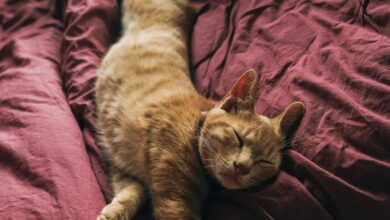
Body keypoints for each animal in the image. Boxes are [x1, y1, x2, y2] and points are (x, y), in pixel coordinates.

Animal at [94, 0, 304, 220]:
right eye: (237, 137)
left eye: (264, 162)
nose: (242, 167)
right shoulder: (175, 202)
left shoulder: (123, 167)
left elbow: (132, 192)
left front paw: (114, 211)